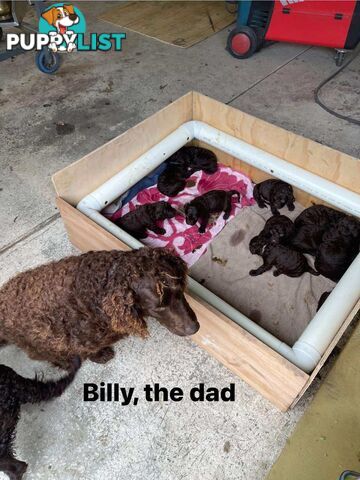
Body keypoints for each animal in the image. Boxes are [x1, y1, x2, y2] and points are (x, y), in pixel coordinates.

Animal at [0, 249, 198, 370]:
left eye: (181, 291)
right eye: (158, 307)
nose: (195, 328)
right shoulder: (79, 339)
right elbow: (88, 351)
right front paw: (101, 356)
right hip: (37, 344)